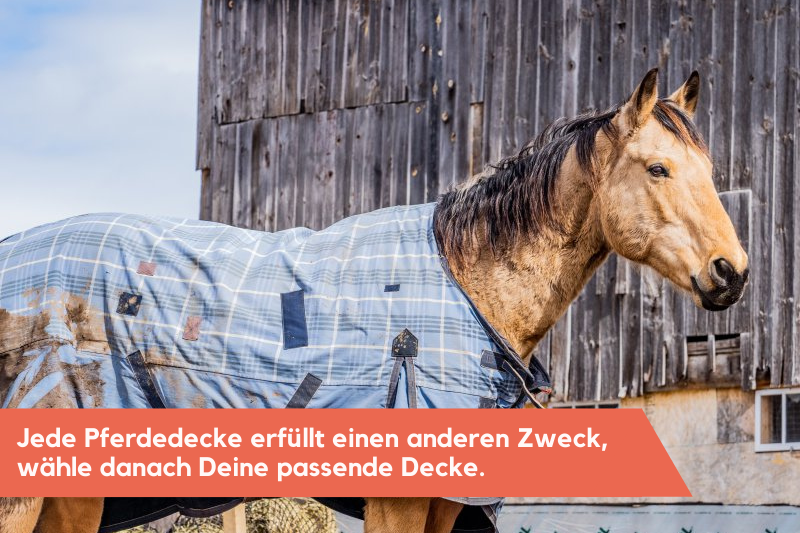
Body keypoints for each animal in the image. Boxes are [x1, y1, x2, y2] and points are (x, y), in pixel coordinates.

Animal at [0, 68, 748, 533]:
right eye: (657, 168)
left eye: (710, 169)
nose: (732, 272)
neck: (466, 284)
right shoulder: (396, 497)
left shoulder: (447, 500)